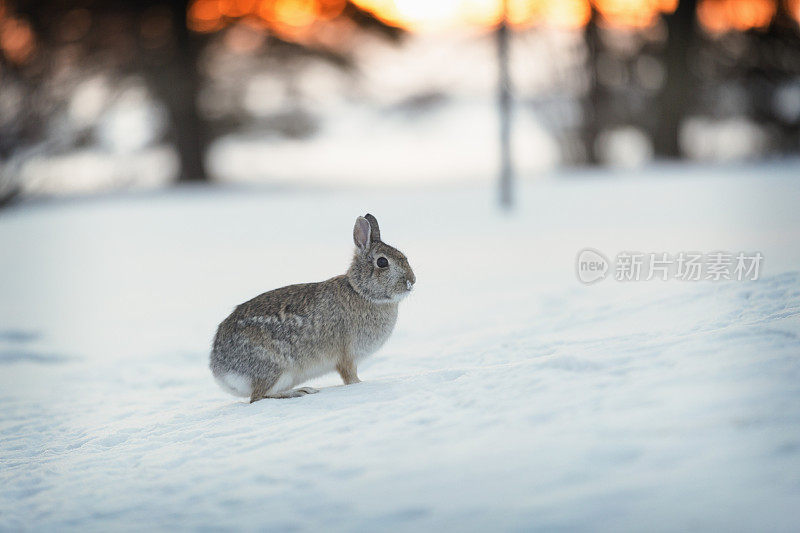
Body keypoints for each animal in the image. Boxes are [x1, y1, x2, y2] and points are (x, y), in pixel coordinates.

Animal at [209, 214, 416, 402]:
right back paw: (300, 392)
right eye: (382, 262)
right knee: (259, 396)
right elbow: (349, 377)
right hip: (275, 367)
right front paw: (360, 384)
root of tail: (219, 369)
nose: (411, 281)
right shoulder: (347, 356)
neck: (360, 291)